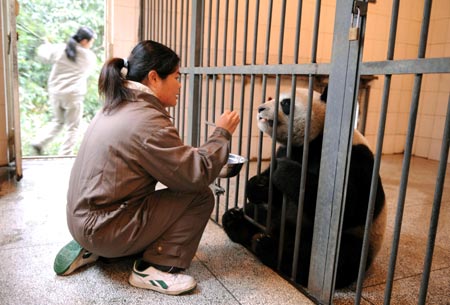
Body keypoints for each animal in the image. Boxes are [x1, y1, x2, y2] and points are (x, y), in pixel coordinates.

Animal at [222, 87, 386, 288]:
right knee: (255, 212)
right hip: (271, 216)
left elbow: (349, 205)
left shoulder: (353, 160)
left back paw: (269, 248)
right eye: (271, 97)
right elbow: (272, 192)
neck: (314, 141)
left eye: (285, 103)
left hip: (356, 239)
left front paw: (286, 170)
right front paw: (257, 185)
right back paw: (236, 222)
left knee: (340, 257)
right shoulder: (284, 150)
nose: (260, 108)